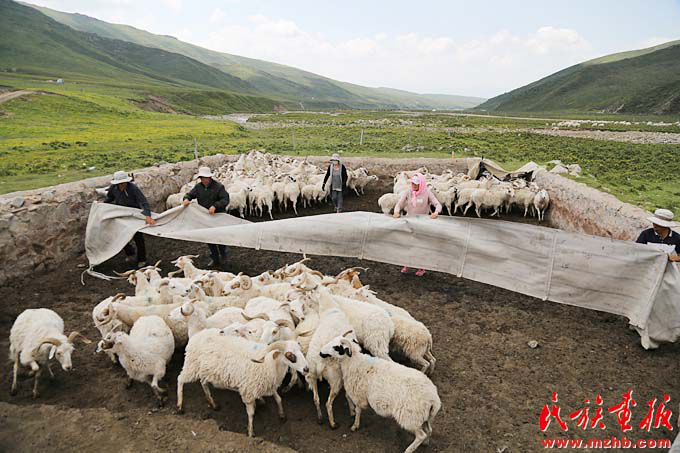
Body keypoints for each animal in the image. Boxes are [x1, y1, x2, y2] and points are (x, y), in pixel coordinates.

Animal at [176, 335, 309, 437]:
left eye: (300, 351)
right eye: (289, 355)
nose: (306, 369)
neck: (269, 363)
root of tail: (196, 336)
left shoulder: (268, 385)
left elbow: (279, 399)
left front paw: (281, 415)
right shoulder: (248, 390)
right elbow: (251, 414)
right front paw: (250, 432)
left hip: (204, 371)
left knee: (203, 384)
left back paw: (213, 404)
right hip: (191, 366)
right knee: (180, 380)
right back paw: (179, 406)